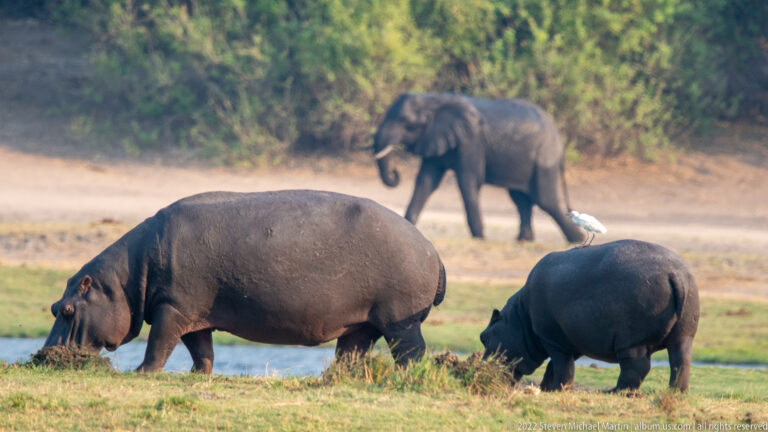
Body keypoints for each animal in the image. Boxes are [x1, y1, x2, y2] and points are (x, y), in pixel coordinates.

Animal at [44, 190, 447, 373]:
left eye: (67, 309)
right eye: (53, 306)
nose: (44, 356)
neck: (124, 281)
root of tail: (431, 247)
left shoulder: (172, 309)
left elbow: (158, 344)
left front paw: (140, 373)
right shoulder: (190, 314)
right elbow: (201, 349)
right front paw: (197, 375)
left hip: (401, 321)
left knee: (412, 352)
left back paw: (409, 375)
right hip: (362, 324)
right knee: (352, 353)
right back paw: (330, 378)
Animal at [373, 92, 585, 243]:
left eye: (404, 122)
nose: (396, 173)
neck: (434, 100)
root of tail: (559, 139)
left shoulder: (472, 140)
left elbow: (467, 181)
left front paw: (479, 237)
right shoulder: (434, 137)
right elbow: (426, 181)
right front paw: (409, 225)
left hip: (545, 155)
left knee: (545, 199)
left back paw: (577, 240)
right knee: (520, 199)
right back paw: (524, 240)